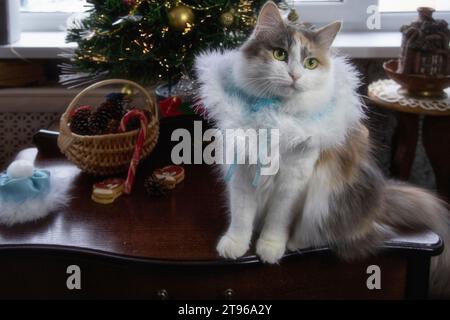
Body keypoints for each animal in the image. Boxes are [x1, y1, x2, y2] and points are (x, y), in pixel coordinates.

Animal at [195, 0, 448, 298]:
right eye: (280, 54)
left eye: (310, 63)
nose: (294, 75)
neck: (275, 115)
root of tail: (379, 201)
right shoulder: (244, 171)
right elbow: (242, 214)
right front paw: (235, 244)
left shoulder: (295, 178)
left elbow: (277, 219)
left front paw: (271, 247)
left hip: (327, 197)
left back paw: (296, 243)